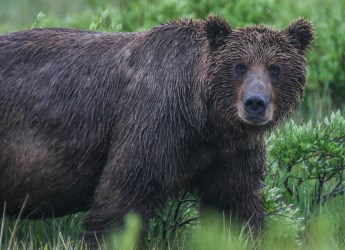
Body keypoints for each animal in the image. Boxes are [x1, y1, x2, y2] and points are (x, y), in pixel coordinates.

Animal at [0, 15, 314, 242]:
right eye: (239, 66)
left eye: (275, 68)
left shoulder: (229, 150)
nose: (255, 103)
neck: (204, 117)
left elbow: (235, 204)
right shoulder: (154, 122)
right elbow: (124, 195)